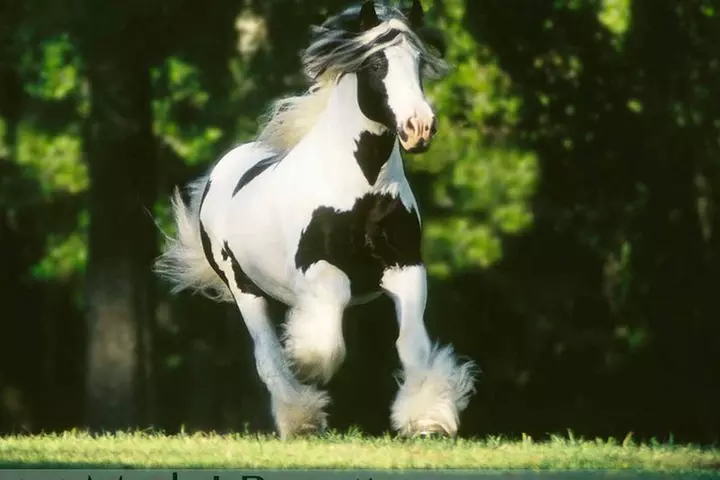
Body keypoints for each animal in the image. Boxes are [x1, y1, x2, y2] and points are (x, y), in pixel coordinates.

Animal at [155, 0, 478, 440]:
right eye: (376, 63)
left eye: (418, 62)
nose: (419, 127)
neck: (363, 188)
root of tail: (222, 170)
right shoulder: (318, 267)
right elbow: (326, 337)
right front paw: (306, 363)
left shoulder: (406, 266)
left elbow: (412, 344)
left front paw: (427, 418)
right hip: (244, 290)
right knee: (267, 356)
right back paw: (300, 417)